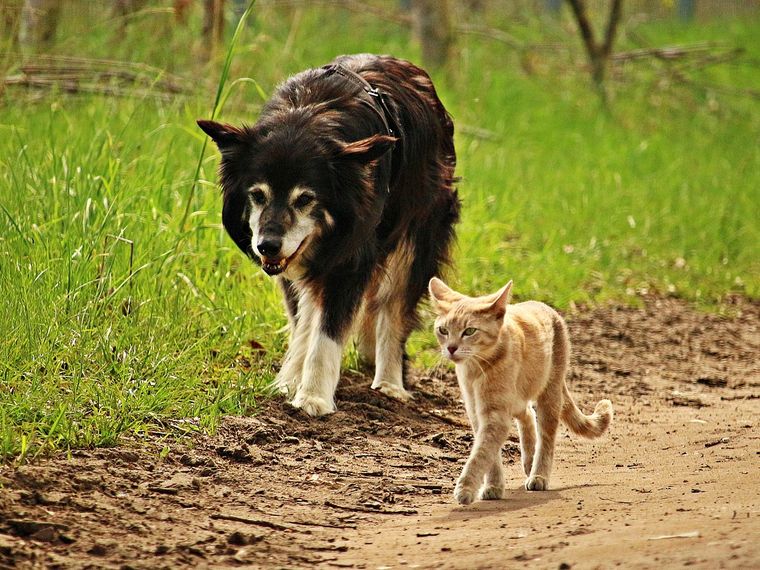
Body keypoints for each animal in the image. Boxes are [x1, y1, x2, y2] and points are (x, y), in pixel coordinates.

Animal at [197, 53, 458, 414]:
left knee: (393, 310)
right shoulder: (294, 263)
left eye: (305, 198)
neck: (308, 115)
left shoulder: (349, 259)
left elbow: (327, 332)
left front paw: (313, 397)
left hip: (416, 239)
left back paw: (389, 383)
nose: (266, 246)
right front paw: (289, 382)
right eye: (257, 195)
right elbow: (303, 324)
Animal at [428, 278, 612, 504]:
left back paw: (538, 474)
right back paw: (529, 460)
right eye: (443, 330)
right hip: (517, 399)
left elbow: (481, 453)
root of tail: (543, 305)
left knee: (546, 438)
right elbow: (490, 455)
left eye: (469, 331)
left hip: (549, 396)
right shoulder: (477, 412)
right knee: (527, 414)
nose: (451, 348)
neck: (475, 370)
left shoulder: (495, 414)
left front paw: (466, 487)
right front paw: (493, 486)